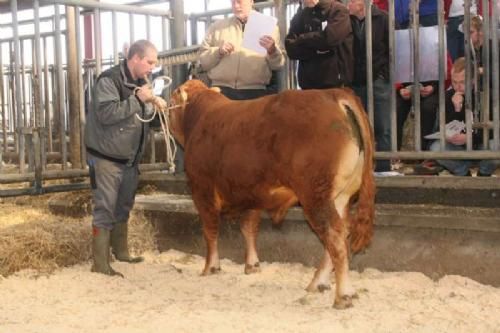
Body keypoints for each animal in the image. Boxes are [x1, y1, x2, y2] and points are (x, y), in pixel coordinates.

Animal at [168, 79, 376, 308]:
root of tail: (334, 94)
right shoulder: (251, 194)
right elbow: (249, 227)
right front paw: (252, 265)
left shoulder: (202, 190)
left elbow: (210, 230)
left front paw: (210, 267)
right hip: (339, 197)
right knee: (340, 232)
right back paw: (318, 283)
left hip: (316, 196)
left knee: (334, 236)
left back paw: (343, 295)